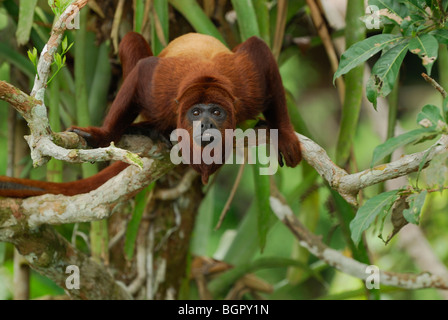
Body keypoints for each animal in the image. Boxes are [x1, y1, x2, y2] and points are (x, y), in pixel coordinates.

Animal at [0, 32, 302, 198]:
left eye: (217, 112)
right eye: (195, 112)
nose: (206, 124)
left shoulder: (246, 88)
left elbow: (259, 50)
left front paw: (285, 134)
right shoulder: (160, 91)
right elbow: (142, 71)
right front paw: (102, 135)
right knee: (130, 40)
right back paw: (151, 129)